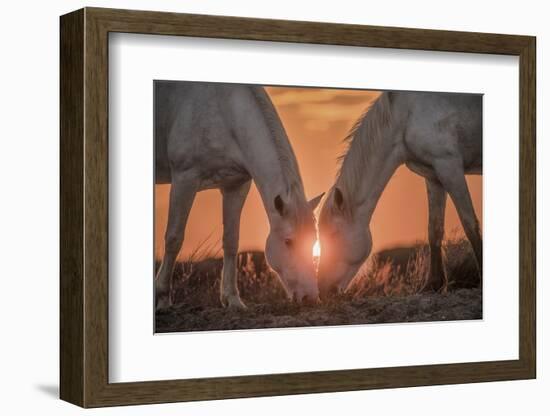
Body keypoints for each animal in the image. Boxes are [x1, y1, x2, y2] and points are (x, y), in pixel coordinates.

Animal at [155, 81, 324, 308]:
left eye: (314, 240)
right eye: (289, 242)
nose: (310, 298)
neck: (224, 111)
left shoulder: (236, 186)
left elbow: (231, 241)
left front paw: (232, 300)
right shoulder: (185, 178)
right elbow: (174, 238)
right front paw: (163, 298)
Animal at [320, 92, 484, 298]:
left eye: (333, 234)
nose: (322, 289)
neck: (405, 116)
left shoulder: (449, 166)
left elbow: (470, 224)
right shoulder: (434, 176)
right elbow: (434, 229)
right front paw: (432, 285)